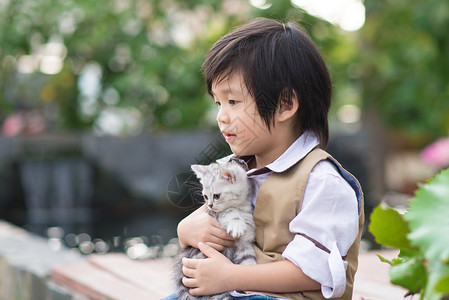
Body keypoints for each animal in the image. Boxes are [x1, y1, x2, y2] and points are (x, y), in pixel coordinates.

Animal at [172, 161, 256, 298]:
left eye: (216, 196)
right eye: (206, 197)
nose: (210, 205)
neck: (239, 206)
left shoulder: (243, 244)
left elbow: (248, 260)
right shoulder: (212, 213)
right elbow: (228, 211)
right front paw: (237, 224)